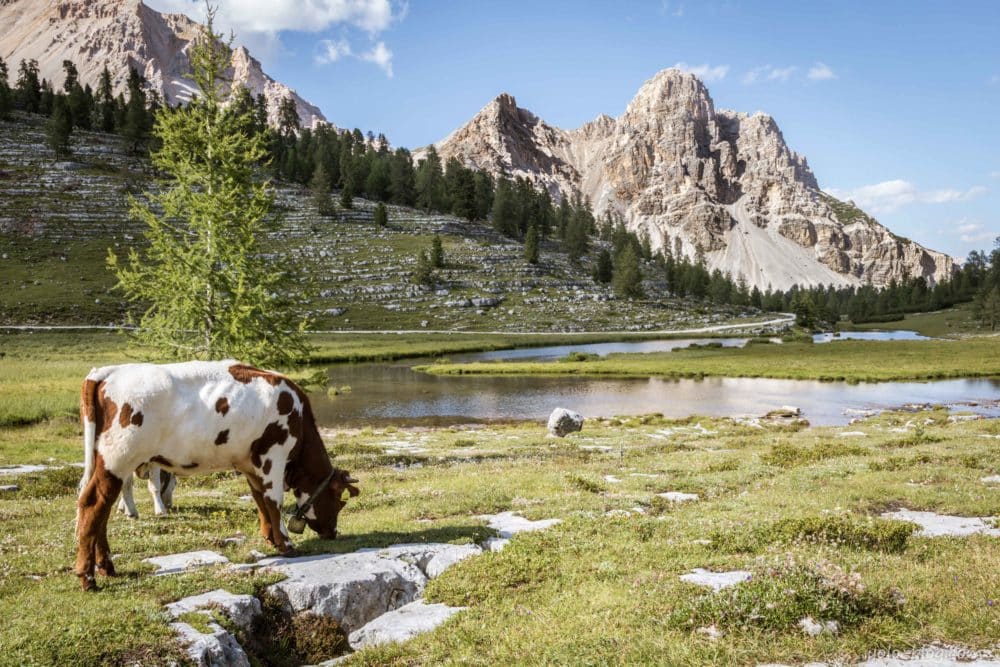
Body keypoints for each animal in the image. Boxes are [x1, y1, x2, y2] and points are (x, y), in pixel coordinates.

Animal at [77, 362, 360, 592]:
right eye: (340, 501)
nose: (333, 532)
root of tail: (108, 371)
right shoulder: (274, 455)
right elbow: (274, 501)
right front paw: (286, 544)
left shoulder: (250, 462)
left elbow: (259, 499)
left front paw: (270, 537)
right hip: (117, 459)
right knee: (93, 504)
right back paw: (87, 578)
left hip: (107, 462)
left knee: (101, 510)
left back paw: (106, 567)